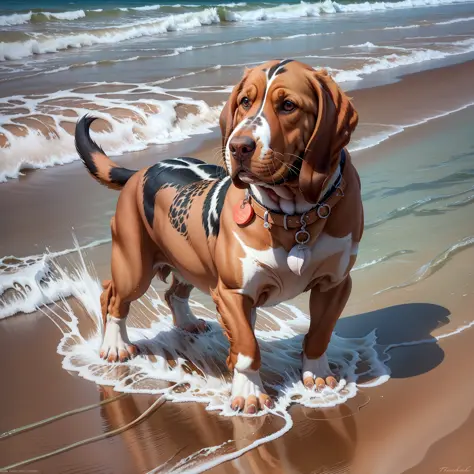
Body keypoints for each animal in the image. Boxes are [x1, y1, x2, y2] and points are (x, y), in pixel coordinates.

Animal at [74, 59, 362, 412]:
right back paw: (115, 345)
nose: (238, 147)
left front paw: (317, 375)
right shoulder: (232, 292)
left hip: (190, 262)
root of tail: (139, 172)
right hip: (134, 268)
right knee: (112, 295)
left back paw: (186, 323)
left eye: (288, 106)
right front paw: (249, 393)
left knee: (173, 293)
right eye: (245, 102)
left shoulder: (335, 284)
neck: (295, 217)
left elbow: (320, 332)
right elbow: (247, 346)